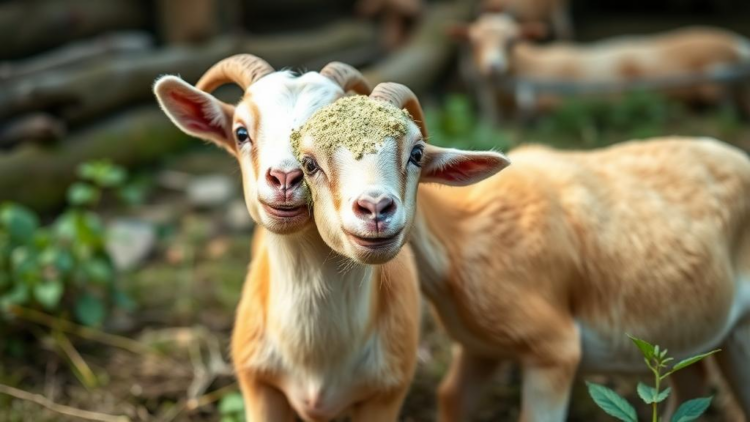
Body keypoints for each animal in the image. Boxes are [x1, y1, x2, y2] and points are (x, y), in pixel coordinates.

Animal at [290, 82, 750, 422]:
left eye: (417, 153)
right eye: (309, 163)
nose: (376, 210)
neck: (460, 236)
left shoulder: (554, 350)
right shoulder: (481, 348)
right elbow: (450, 396)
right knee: (692, 382)